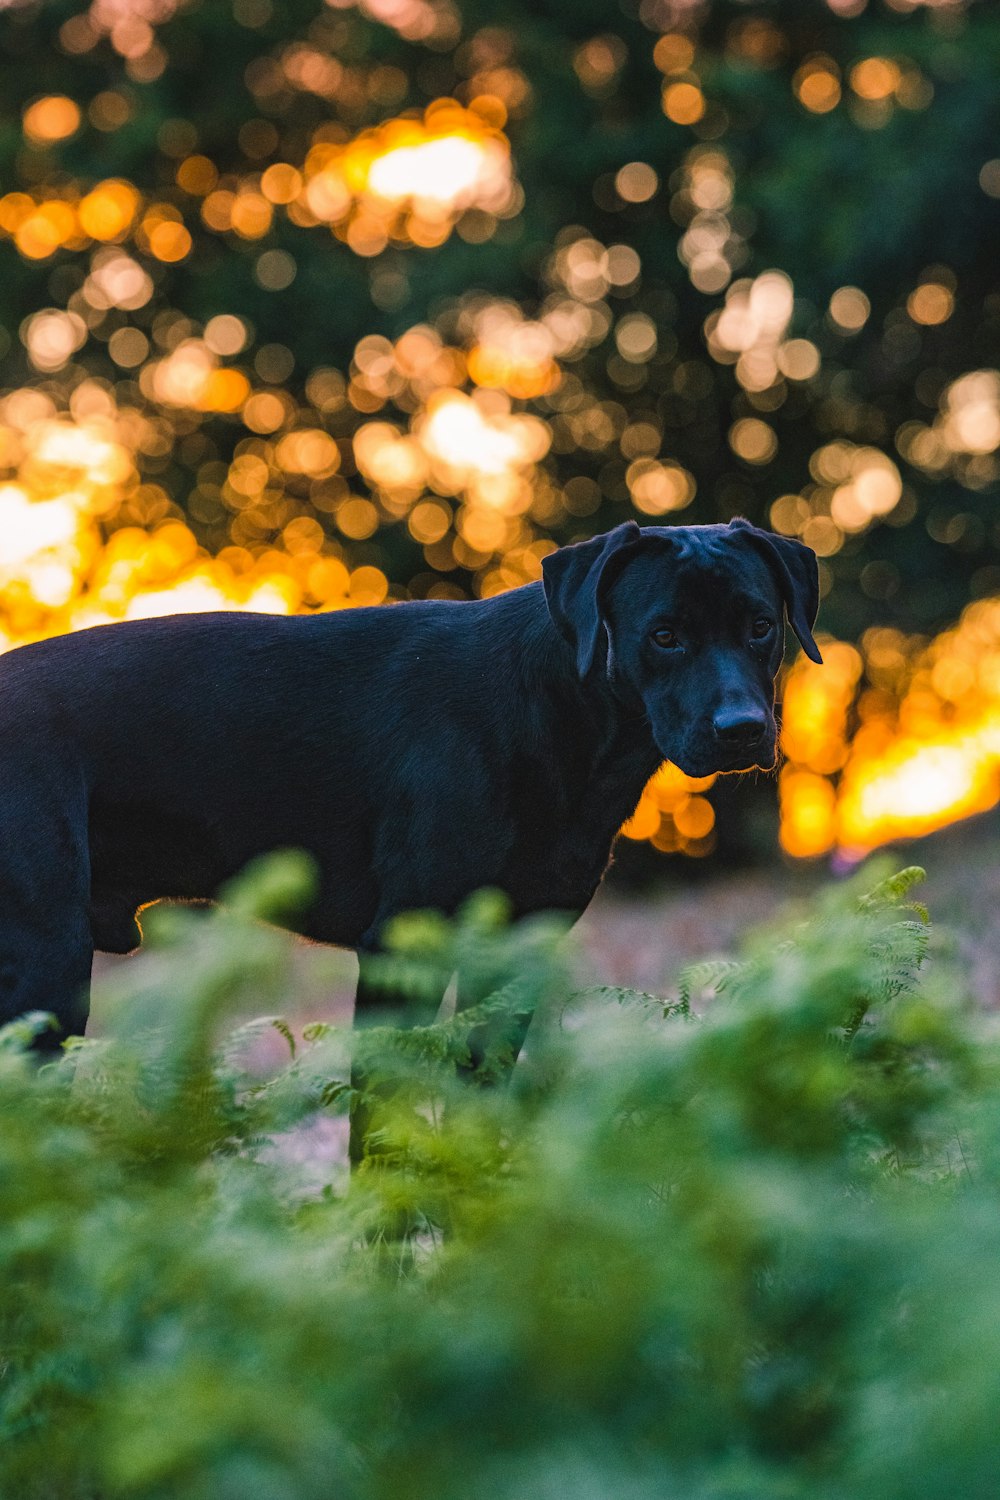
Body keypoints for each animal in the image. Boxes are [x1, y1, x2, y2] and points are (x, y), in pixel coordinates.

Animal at [0, 522, 815, 1062]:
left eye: (760, 626)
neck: (556, 712)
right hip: (47, 968)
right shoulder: (401, 947)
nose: (742, 730)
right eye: (664, 635)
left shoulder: (517, 950)